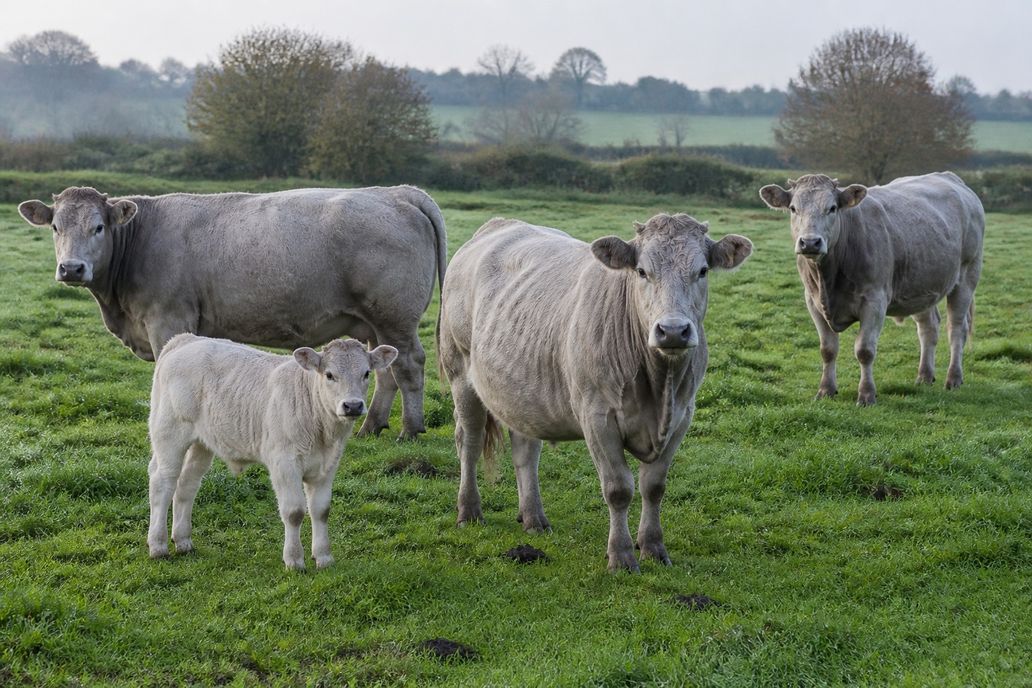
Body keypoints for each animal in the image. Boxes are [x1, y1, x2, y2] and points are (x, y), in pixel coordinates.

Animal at [17, 185, 446, 439]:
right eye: (55, 227)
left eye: (99, 227)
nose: (72, 268)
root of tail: (395, 192)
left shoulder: (168, 320)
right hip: (374, 325)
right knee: (384, 370)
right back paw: (372, 425)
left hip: (394, 317)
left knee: (409, 366)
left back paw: (411, 429)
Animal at [147, 334, 397, 570]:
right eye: (329, 375)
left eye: (366, 373)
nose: (352, 406)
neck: (322, 431)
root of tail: (187, 339)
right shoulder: (283, 463)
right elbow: (294, 512)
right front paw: (294, 560)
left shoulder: (328, 466)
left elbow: (321, 510)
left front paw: (324, 557)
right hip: (169, 433)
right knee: (163, 482)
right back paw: (158, 545)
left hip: (202, 443)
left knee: (187, 485)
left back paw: (183, 542)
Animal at [437, 214, 752, 572]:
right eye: (641, 271)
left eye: (702, 270)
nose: (673, 330)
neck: (659, 387)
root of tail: (499, 223)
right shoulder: (597, 416)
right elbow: (618, 488)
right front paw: (622, 556)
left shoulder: (682, 417)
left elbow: (654, 486)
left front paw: (654, 548)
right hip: (460, 371)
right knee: (469, 442)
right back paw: (469, 511)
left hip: (521, 391)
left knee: (525, 452)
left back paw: (533, 518)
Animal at [759, 172, 985, 405]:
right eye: (793, 208)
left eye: (832, 208)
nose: (810, 242)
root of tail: (950, 177)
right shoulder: (813, 302)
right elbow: (827, 350)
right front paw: (825, 390)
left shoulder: (874, 301)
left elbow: (864, 350)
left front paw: (866, 395)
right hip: (922, 286)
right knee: (928, 328)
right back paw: (924, 376)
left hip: (967, 276)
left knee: (957, 328)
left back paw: (954, 378)